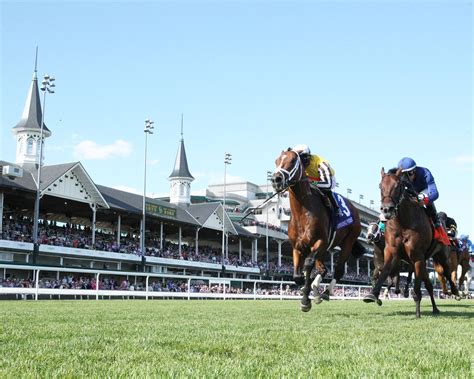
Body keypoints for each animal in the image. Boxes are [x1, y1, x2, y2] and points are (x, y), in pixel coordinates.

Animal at [270, 148, 366, 312]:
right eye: (276, 161)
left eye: (292, 161)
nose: (276, 179)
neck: (303, 212)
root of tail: (354, 209)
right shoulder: (297, 246)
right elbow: (297, 276)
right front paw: (307, 292)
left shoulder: (320, 241)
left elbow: (308, 265)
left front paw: (305, 300)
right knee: (323, 270)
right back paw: (316, 292)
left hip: (348, 241)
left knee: (338, 269)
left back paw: (325, 293)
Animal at [362, 169, 460, 318]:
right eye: (380, 186)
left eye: (398, 186)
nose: (387, 209)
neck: (403, 223)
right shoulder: (391, 252)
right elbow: (384, 272)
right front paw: (373, 295)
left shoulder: (417, 255)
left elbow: (417, 287)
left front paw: (417, 312)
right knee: (429, 285)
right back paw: (434, 308)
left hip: (441, 255)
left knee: (447, 272)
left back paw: (454, 292)